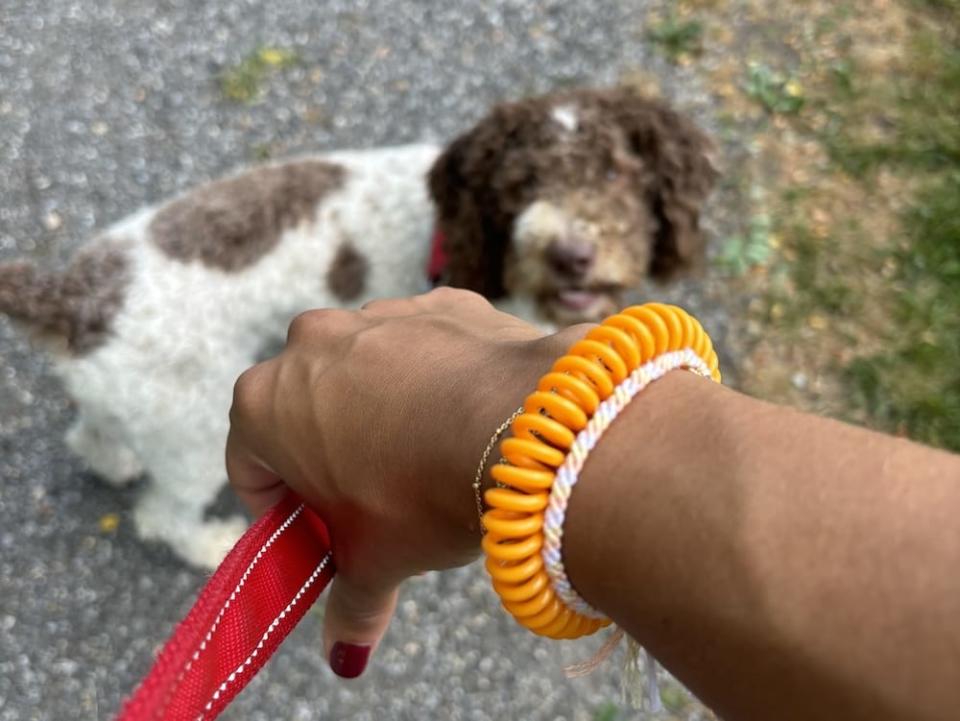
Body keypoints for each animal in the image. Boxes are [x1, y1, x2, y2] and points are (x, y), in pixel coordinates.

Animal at [0, 86, 716, 568]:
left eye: (616, 171)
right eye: (520, 184)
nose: (569, 253)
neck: (455, 235)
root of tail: (71, 297)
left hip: (142, 400)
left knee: (90, 434)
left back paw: (116, 461)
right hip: (193, 423)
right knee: (161, 514)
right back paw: (210, 544)